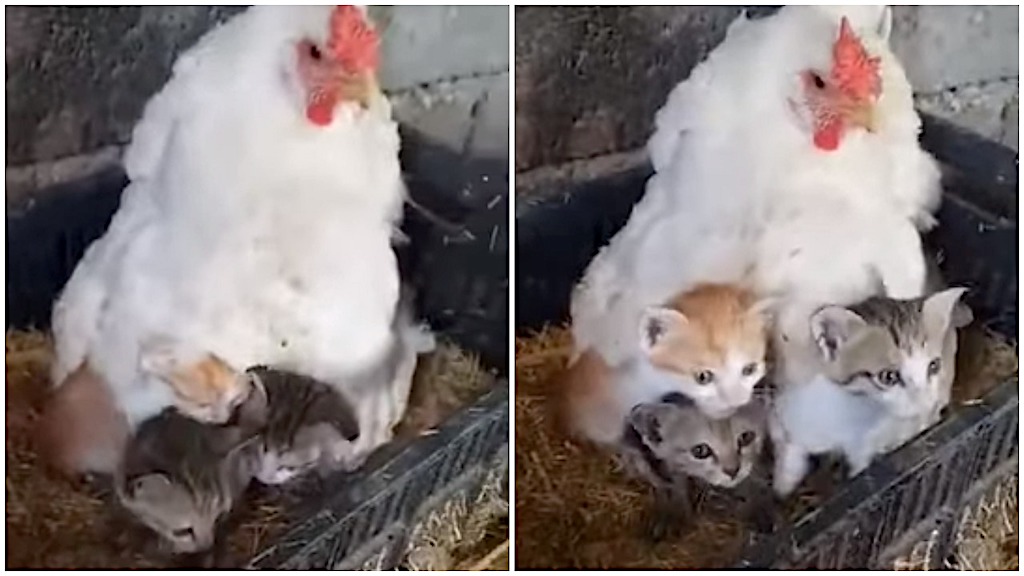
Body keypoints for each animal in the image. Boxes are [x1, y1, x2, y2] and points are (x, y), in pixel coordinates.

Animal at [770, 284, 970, 496]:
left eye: (934, 366)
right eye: (888, 377)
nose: (924, 403)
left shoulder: (864, 446)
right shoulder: (791, 405)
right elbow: (788, 441)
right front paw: (784, 483)